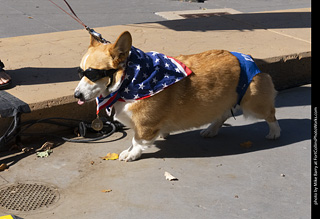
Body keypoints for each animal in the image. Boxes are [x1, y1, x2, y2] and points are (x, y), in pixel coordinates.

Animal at [74, 30, 280, 161]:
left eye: (93, 74)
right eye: (81, 72)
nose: (77, 95)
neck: (130, 78)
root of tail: (250, 59)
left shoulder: (145, 126)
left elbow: (137, 141)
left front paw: (131, 154)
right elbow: (135, 139)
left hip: (254, 104)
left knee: (271, 115)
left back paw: (274, 133)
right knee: (222, 115)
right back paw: (211, 130)